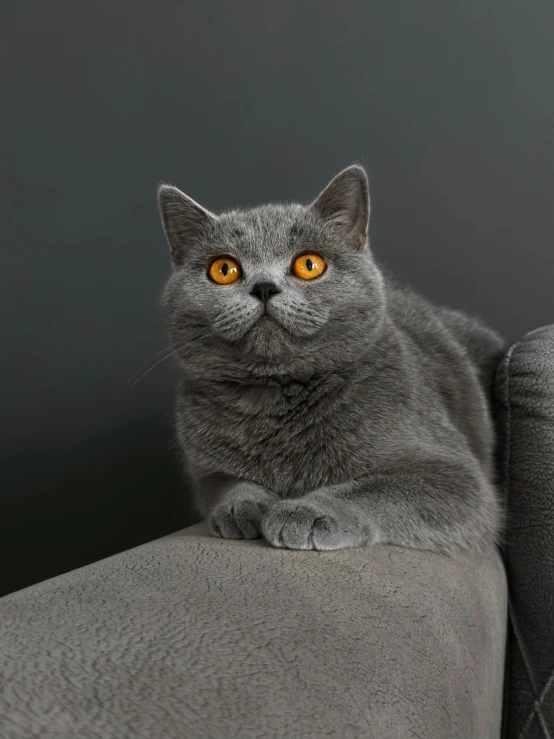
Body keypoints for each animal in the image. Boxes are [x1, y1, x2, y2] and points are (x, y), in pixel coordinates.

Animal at [157, 165, 502, 552]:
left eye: (309, 264)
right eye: (223, 269)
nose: (264, 287)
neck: (275, 396)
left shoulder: (457, 479)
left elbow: (373, 490)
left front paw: (306, 512)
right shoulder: (205, 469)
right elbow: (224, 484)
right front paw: (241, 506)